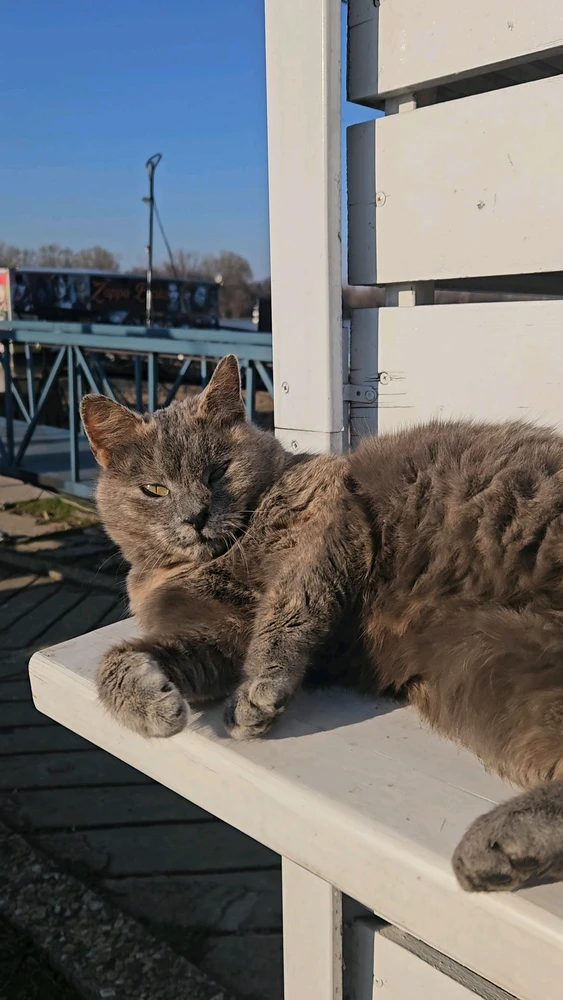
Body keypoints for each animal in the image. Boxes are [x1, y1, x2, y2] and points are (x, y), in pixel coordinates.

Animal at [81, 354, 563, 894]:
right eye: (155, 489)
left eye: (218, 471)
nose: (196, 516)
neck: (218, 557)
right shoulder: (217, 633)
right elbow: (124, 656)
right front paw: (155, 706)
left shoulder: (323, 516)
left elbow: (289, 606)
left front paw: (258, 695)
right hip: (497, 664)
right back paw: (503, 849)